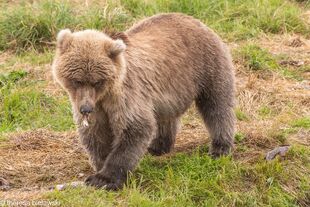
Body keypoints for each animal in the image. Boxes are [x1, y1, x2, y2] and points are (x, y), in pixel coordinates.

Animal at [51, 12, 235, 191]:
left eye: (97, 81)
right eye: (77, 80)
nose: (86, 109)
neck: (105, 95)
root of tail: (196, 20)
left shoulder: (126, 95)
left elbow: (135, 128)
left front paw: (104, 179)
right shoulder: (96, 105)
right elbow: (96, 133)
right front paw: (100, 165)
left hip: (207, 65)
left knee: (217, 105)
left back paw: (220, 147)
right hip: (171, 91)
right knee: (166, 117)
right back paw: (158, 146)